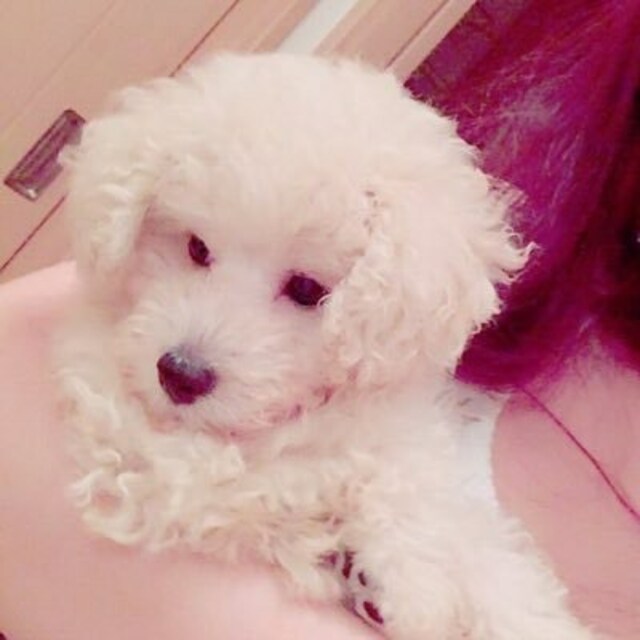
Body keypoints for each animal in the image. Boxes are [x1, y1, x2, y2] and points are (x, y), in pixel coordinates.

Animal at [56, 53, 594, 639]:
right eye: (196, 248)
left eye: (306, 290)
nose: (179, 374)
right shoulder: (140, 438)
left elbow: (454, 532)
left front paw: (419, 579)